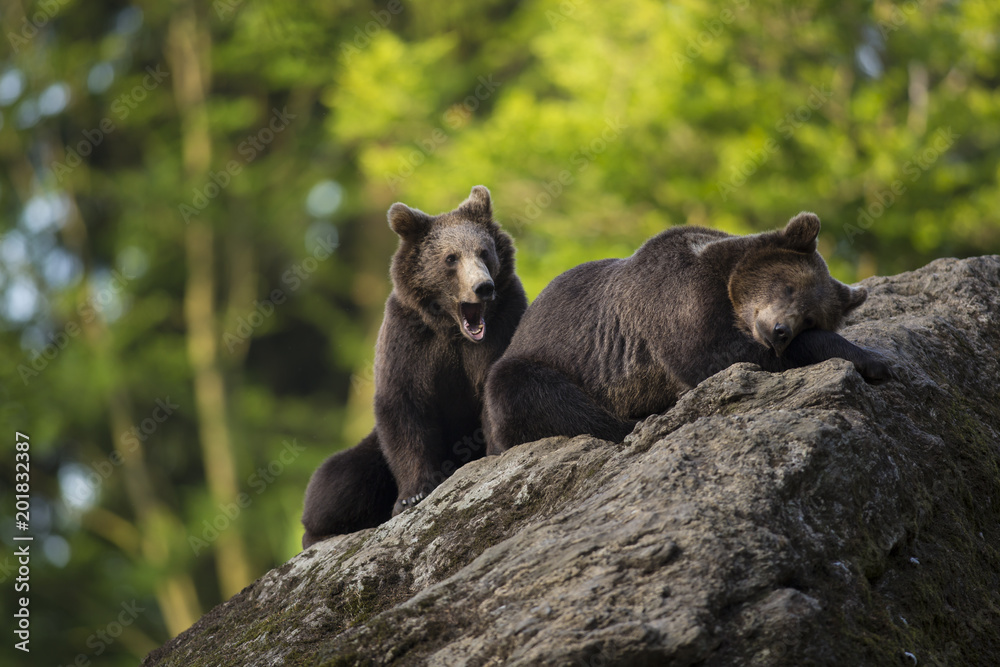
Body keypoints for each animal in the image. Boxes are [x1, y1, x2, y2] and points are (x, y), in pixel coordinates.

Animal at [302, 185, 527, 548]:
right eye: (451, 258)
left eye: (484, 251)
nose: (483, 287)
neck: (451, 328)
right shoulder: (409, 341)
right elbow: (404, 406)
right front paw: (412, 495)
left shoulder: (504, 322)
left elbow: (495, 388)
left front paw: (497, 449)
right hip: (368, 452)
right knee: (336, 481)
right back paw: (319, 531)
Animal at [484, 212, 891, 453]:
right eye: (788, 287)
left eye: (811, 317)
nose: (779, 331)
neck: (726, 283)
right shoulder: (675, 296)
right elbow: (711, 356)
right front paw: (871, 358)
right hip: (535, 366)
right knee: (529, 391)